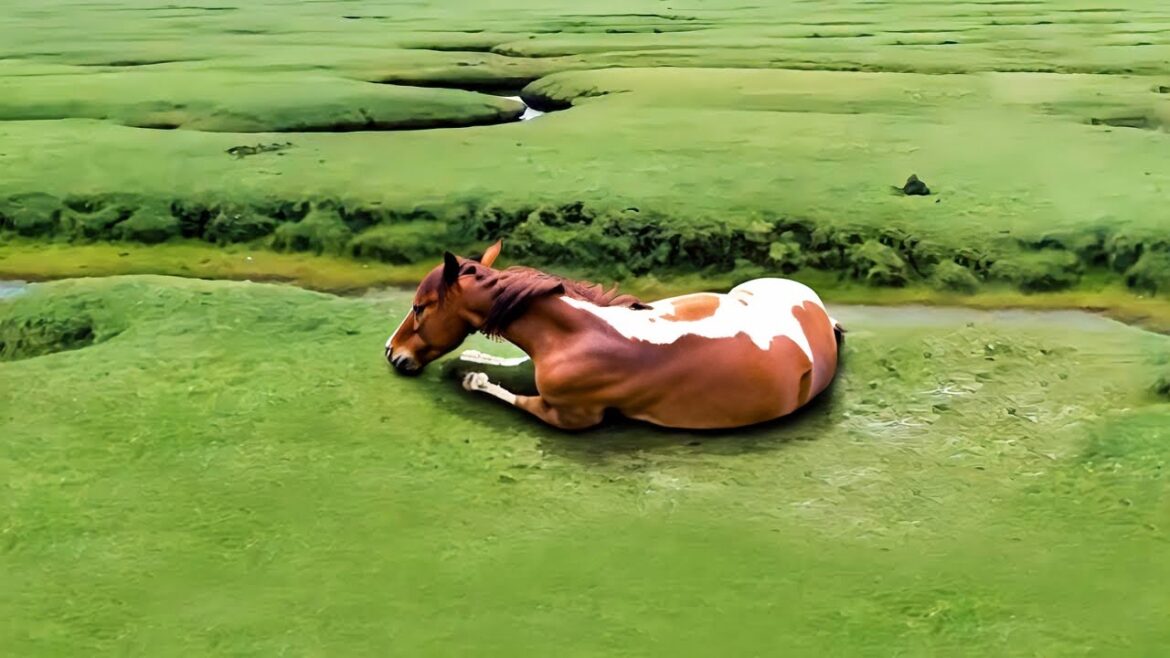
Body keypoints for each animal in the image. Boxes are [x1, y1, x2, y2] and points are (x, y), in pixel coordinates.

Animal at [385, 240, 843, 431]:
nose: (392, 353)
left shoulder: (568, 417)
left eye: (420, 306)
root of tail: (817, 306)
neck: (585, 334)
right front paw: (477, 360)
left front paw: (472, 377)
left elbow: (507, 394)